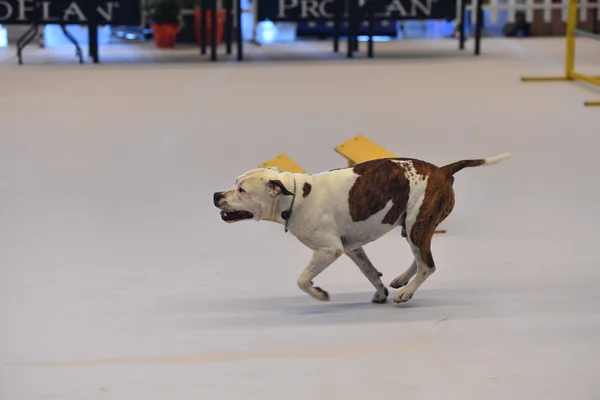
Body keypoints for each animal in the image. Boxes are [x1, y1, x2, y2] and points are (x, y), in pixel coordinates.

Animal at [213, 155, 508, 304]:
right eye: (234, 183)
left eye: (242, 190)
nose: (216, 194)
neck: (296, 197)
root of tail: (443, 170)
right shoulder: (353, 249)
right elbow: (369, 273)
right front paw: (380, 292)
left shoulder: (328, 250)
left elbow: (302, 279)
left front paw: (319, 294)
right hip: (411, 227)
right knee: (420, 258)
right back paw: (402, 280)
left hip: (418, 224)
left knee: (428, 264)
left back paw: (407, 292)